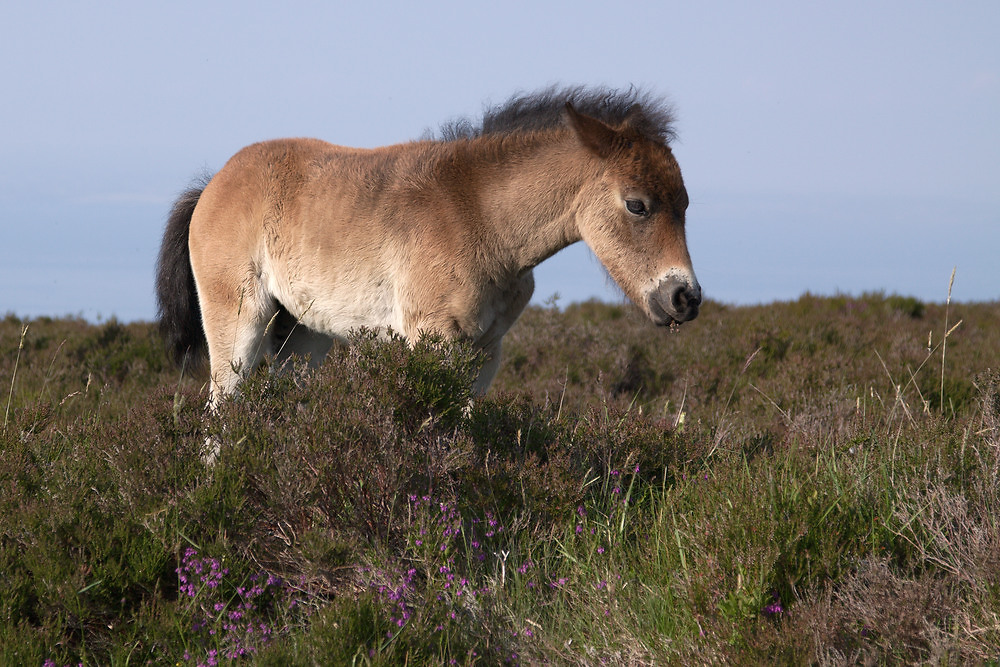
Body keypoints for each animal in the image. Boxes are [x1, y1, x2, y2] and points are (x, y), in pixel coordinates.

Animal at [156, 86, 704, 404]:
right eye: (637, 205)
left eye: (685, 203)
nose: (685, 298)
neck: (479, 215)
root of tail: (211, 185)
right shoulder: (433, 342)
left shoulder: (486, 352)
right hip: (239, 320)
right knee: (222, 410)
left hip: (304, 337)